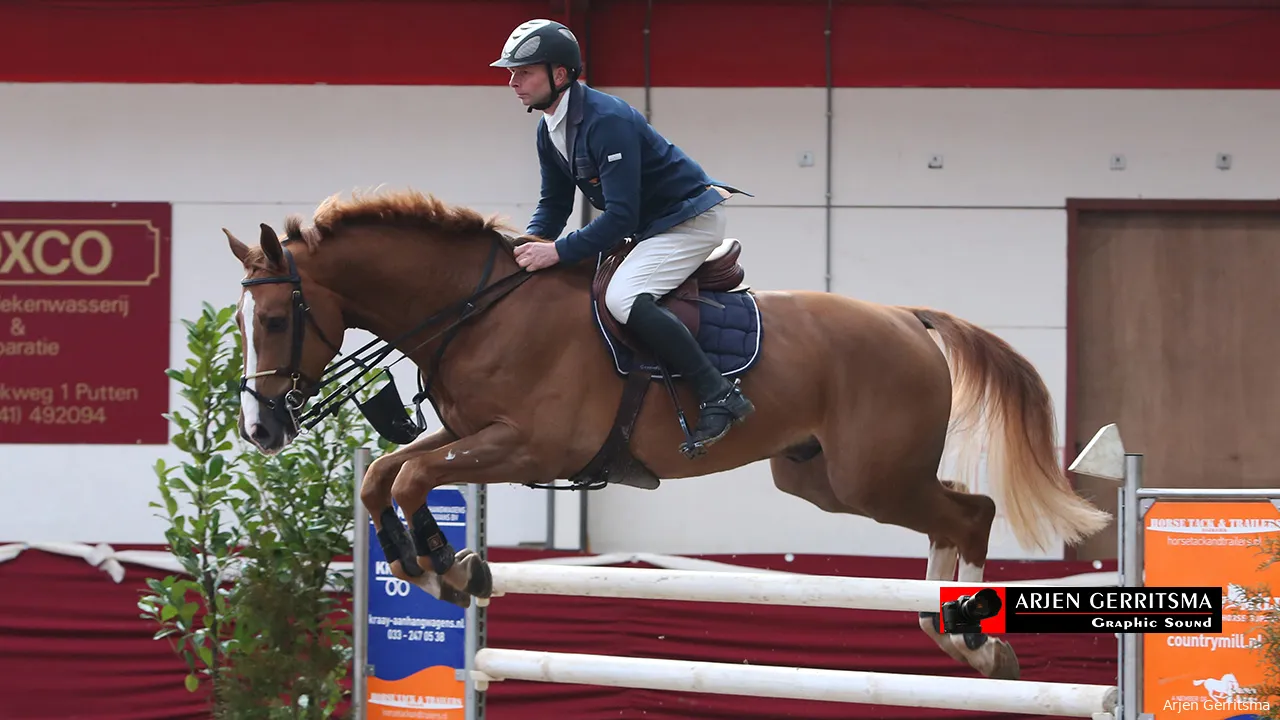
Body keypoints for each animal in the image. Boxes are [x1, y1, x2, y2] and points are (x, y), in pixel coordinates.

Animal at [225, 185, 1116, 676]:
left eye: (272, 320)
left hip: (874, 477)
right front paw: (436, 567)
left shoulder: (529, 444)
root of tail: (907, 317)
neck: (477, 312)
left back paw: (973, 643)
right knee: (954, 508)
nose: (261, 429)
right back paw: (945, 627)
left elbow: (410, 476)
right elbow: (387, 475)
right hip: (826, 479)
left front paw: (450, 567)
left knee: (973, 512)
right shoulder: (472, 435)